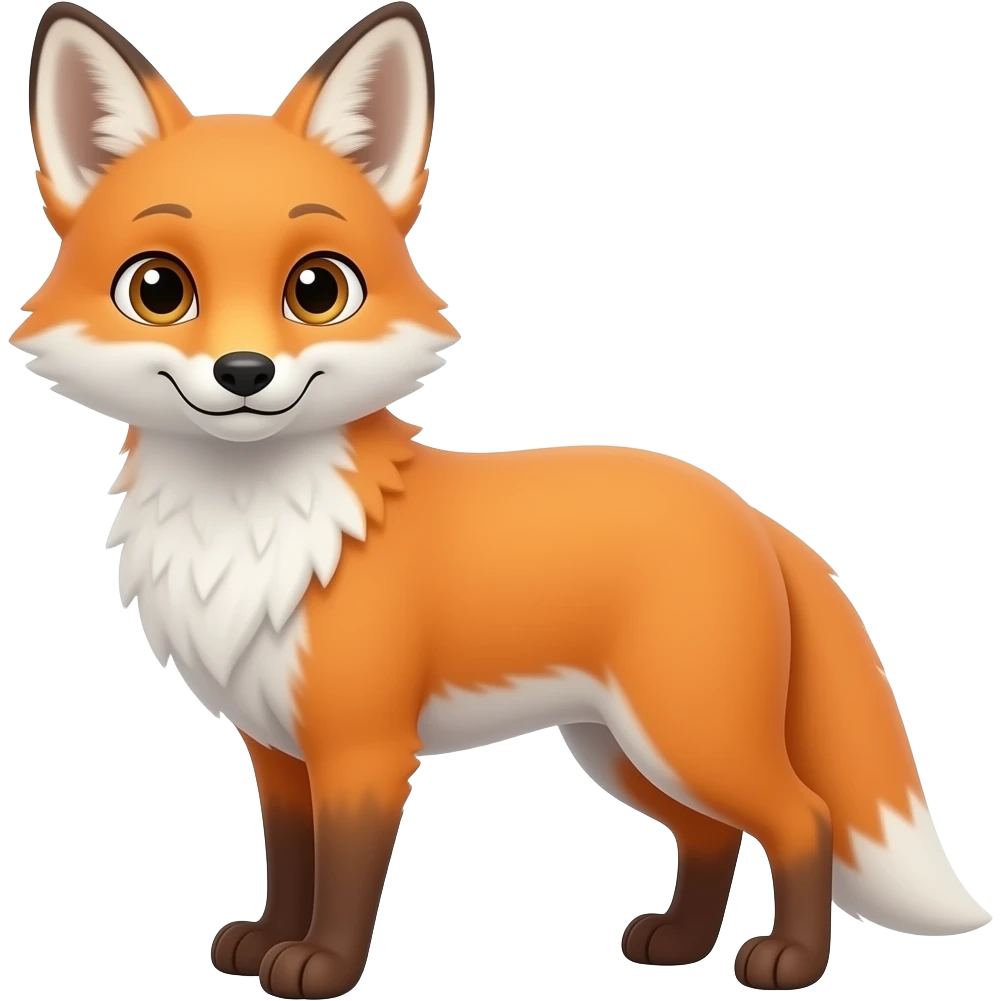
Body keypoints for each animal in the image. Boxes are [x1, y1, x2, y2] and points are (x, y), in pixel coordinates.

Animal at [12, 2, 993, 997]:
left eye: (317, 288)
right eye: (158, 288)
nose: (243, 373)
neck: (251, 531)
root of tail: (748, 512)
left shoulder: (364, 745)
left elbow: (346, 875)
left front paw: (321, 965)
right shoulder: (277, 750)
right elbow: (289, 861)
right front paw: (264, 941)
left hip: (687, 733)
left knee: (804, 815)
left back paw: (789, 960)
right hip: (620, 746)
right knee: (712, 832)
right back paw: (679, 941)